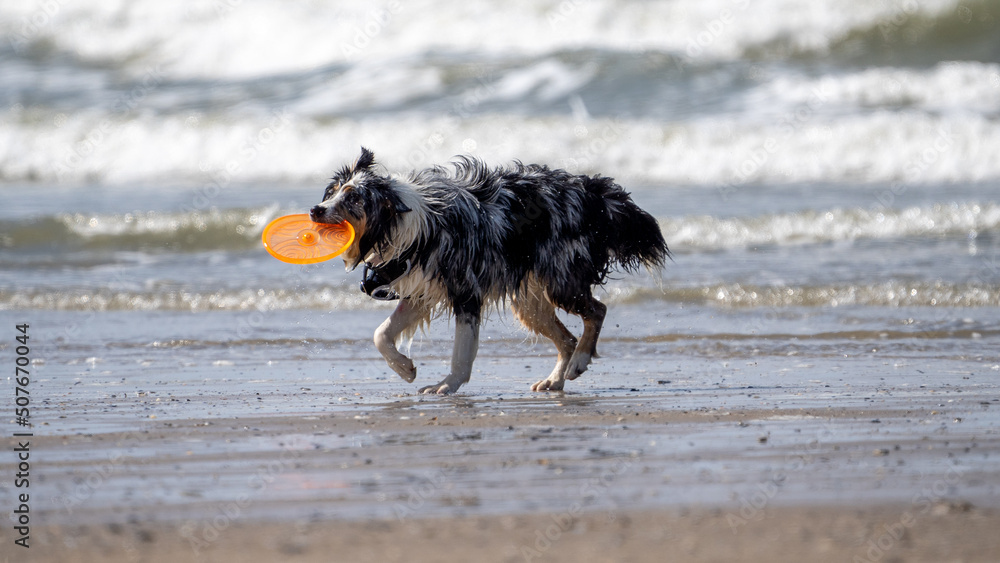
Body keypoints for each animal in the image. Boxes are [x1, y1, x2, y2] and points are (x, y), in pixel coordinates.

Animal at [310, 150, 672, 396]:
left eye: (354, 198)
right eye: (334, 191)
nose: (315, 209)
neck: (406, 222)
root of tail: (596, 194)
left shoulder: (465, 291)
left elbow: (462, 351)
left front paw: (447, 385)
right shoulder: (421, 290)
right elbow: (381, 334)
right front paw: (405, 368)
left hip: (562, 281)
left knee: (597, 311)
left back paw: (580, 362)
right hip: (529, 303)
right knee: (567, 337)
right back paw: (555, 379)